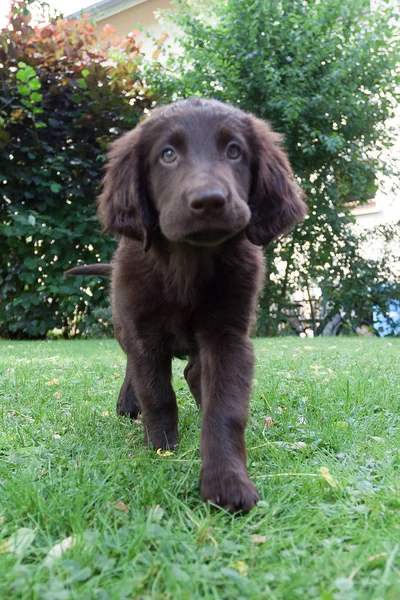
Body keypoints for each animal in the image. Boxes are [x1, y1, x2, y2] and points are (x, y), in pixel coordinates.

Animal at [66, 97, 306, 510]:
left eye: (234, 151)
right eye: (167, 154)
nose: (209, 201)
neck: (187, 266)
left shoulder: (228, 334)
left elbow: (226, 407)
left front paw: (227, 482)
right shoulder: (143, 331)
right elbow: (157, 394)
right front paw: (163, 449)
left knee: (194, 373)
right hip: (123, 322)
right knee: (134, 367)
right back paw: (128, 403)